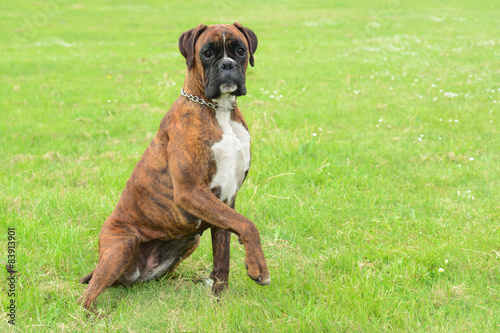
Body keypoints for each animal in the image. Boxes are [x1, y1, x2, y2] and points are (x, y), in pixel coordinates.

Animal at [78, 22, 272, 312]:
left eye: (240, 51)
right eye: (207, 53)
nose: (227, 64)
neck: (220, 111)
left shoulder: (226, 199)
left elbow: (223, 256)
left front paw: (219, 299)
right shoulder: (192, 192)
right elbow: (247, 225)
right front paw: (258, 268)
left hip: (189, 240)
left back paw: (194, 283)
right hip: (122, 246)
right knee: (86, 296)